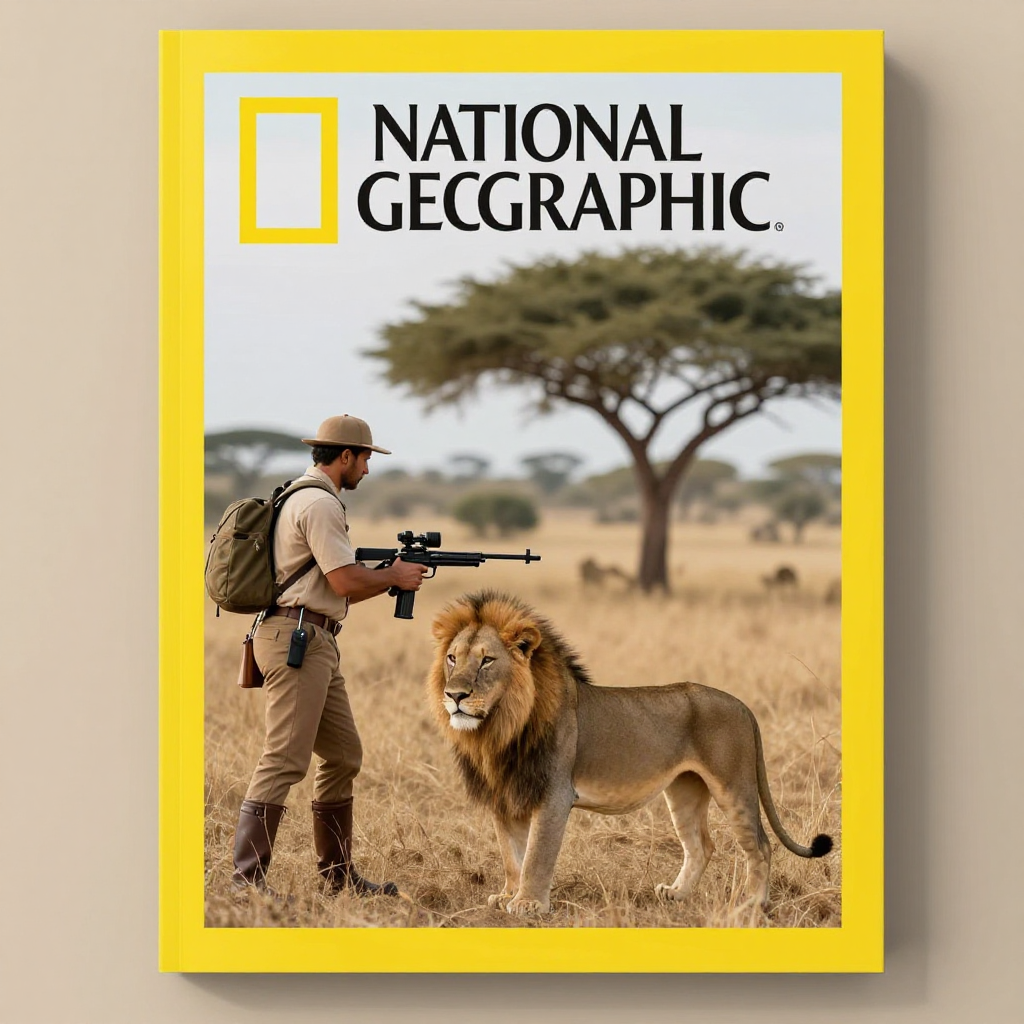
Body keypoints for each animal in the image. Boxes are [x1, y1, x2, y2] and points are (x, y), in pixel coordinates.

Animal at [429, 590, 833, 918]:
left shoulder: (554, 793)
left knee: (760, 845)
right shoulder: (506, 795)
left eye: (486, 661)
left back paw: (750, 905)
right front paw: (507, 896)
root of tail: (744, 706)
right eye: (452, 658)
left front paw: (528, 904)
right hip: (685, 789)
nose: (455, 695)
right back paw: (676, 895)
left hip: (733, 784)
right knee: (701, 845)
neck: (501, 727)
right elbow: (512, 855)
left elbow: (536, 855)